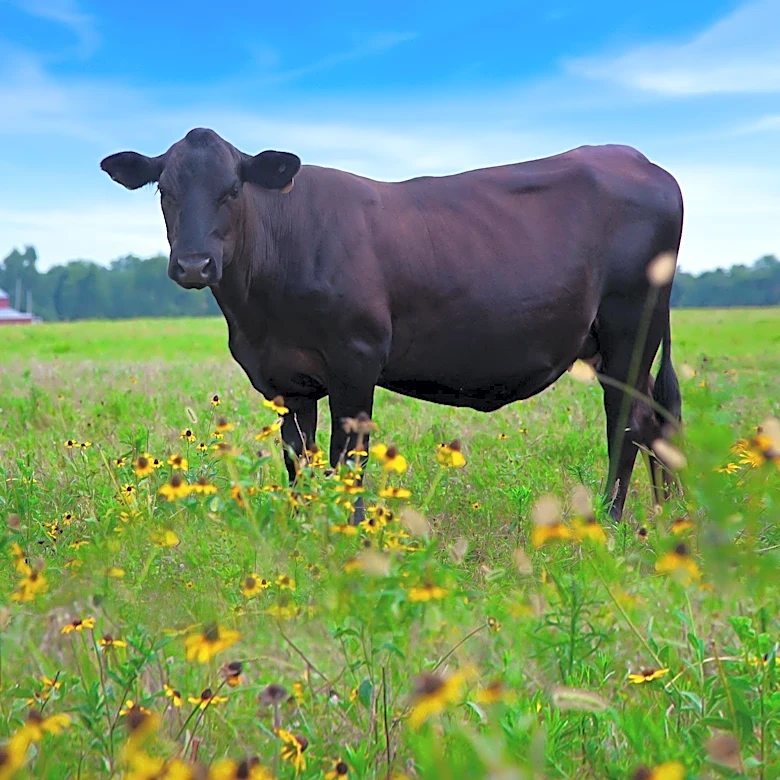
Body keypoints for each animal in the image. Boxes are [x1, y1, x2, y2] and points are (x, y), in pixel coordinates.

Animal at [101, 128, 682, 521]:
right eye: (165, 191)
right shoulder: (285, 380)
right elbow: (298, 461)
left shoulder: (354, 361)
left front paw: (348, 536)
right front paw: (305, 530)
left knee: (626, 422)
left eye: (232, 191)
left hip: (631, 327)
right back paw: (665, 518)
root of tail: (637, 158)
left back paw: (610, 522)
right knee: (656, 419)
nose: (193, 265)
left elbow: (347, 462)